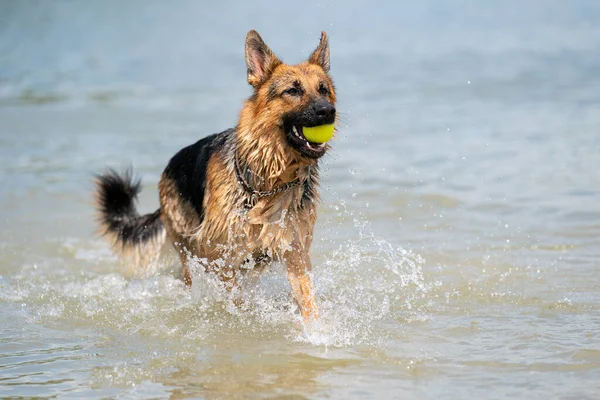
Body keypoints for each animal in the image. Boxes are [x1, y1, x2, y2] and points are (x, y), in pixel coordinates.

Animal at [96, 30, 336, 322]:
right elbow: (235, 299)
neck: (269, 183)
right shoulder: (220, 259)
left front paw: (319, 330)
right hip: (190, 253)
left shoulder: (295, 254)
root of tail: (169, 167)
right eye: (293, 90)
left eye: (323, 89)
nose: (328, 111)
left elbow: (309, 304)